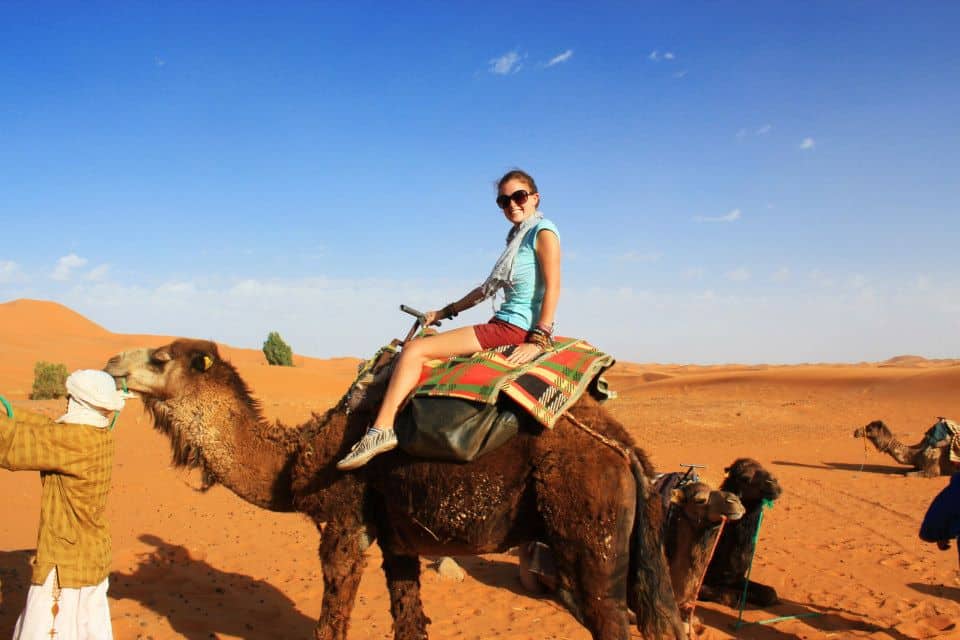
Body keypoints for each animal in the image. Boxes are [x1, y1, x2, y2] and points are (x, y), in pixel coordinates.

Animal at [105, 340, 684, 640]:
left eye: (159, 358)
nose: (111, 362)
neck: (297, 459)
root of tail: (624, 449)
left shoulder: (344, 526)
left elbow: (331, 623)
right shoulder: (399, 539)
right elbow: (409, 621)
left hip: (588, 530)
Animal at [700, 458, 784, 608]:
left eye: (762, 467)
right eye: (745, 478)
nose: (773, 482)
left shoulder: (736, 577)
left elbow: (770, 594)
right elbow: (729, 597)